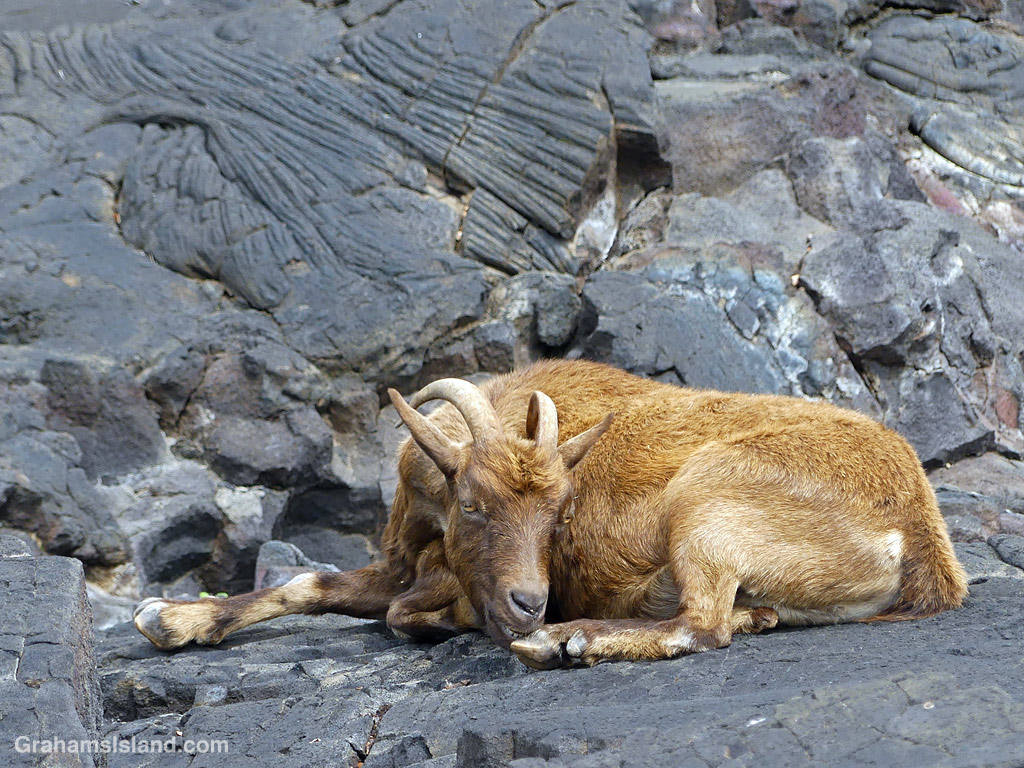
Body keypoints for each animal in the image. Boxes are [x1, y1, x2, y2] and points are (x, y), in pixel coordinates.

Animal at [134, 359, 967, 667]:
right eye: (472, 503)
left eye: (560, 512)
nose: (529, 602)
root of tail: (921, 536)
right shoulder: (403, 559)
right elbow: (314, 586)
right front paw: (172, 619)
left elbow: (407, 611)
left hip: (706, 505)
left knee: (700, 625)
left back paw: (566, 642)